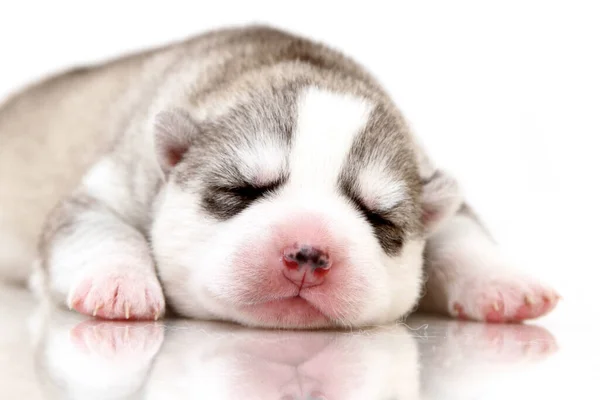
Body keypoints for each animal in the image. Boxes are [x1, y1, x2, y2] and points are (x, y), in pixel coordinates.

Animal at [0, 25, 560, 326]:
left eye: (377, 216)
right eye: (241, 190)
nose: (308, 254)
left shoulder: (433, 183)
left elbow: (460, 228)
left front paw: (504, 282)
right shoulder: (118, 181)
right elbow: (94, 225)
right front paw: (120, 284)